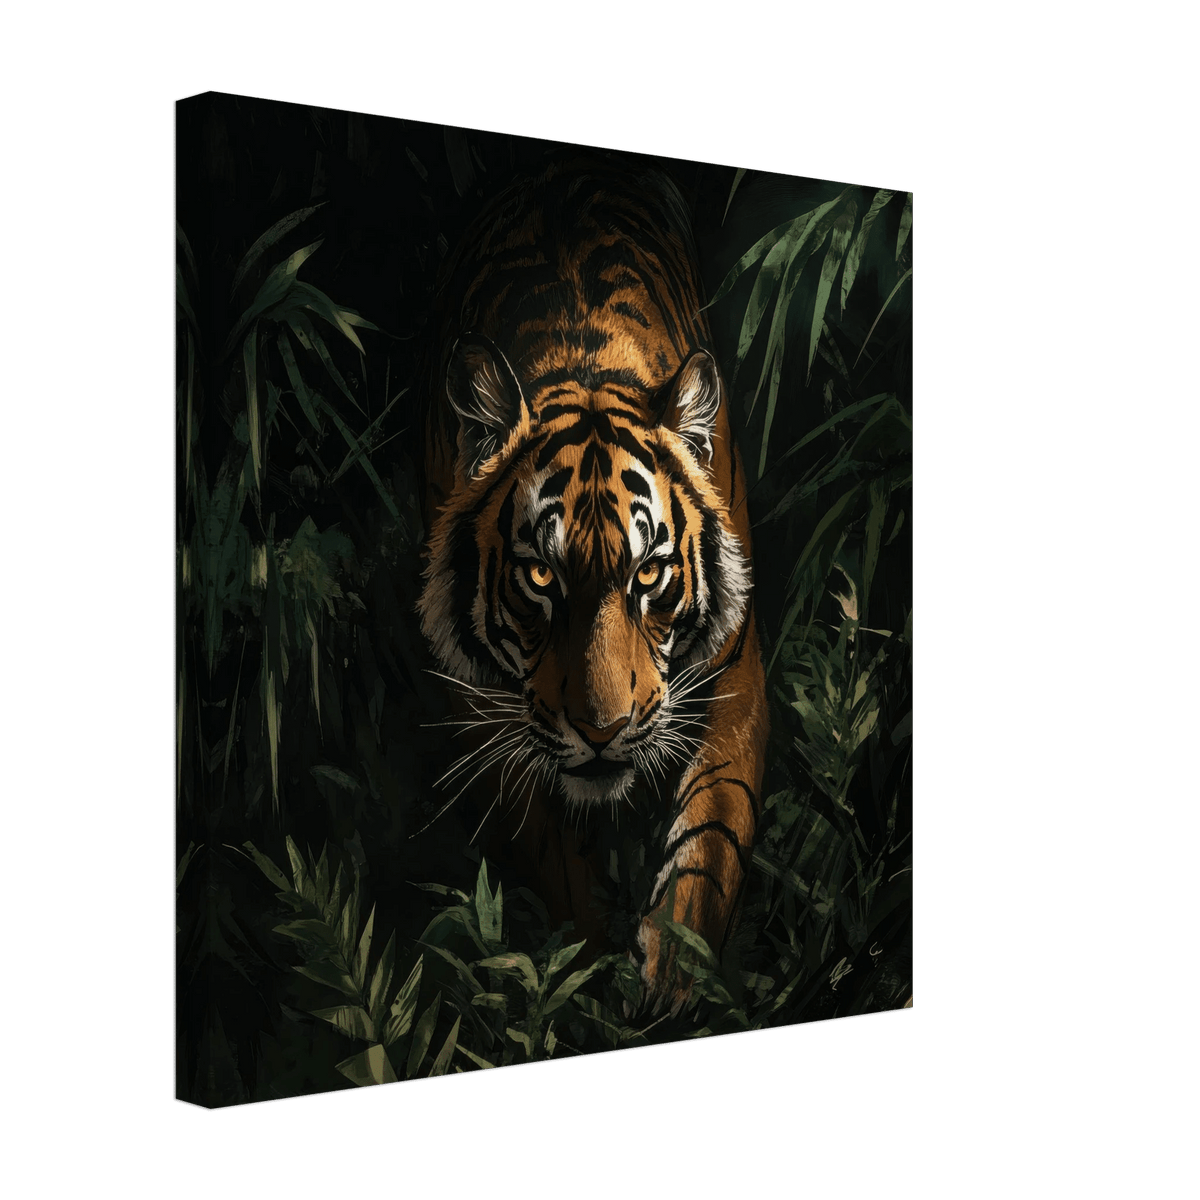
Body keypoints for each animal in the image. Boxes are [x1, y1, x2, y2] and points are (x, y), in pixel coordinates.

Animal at [417, 153, 768, 1009]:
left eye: (650, 572)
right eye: (542, 575)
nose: (603, 732)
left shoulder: (734, 681)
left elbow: (711, 844)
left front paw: (673, 973)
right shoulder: (488, 712)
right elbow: (558, 867)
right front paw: (583, 976)